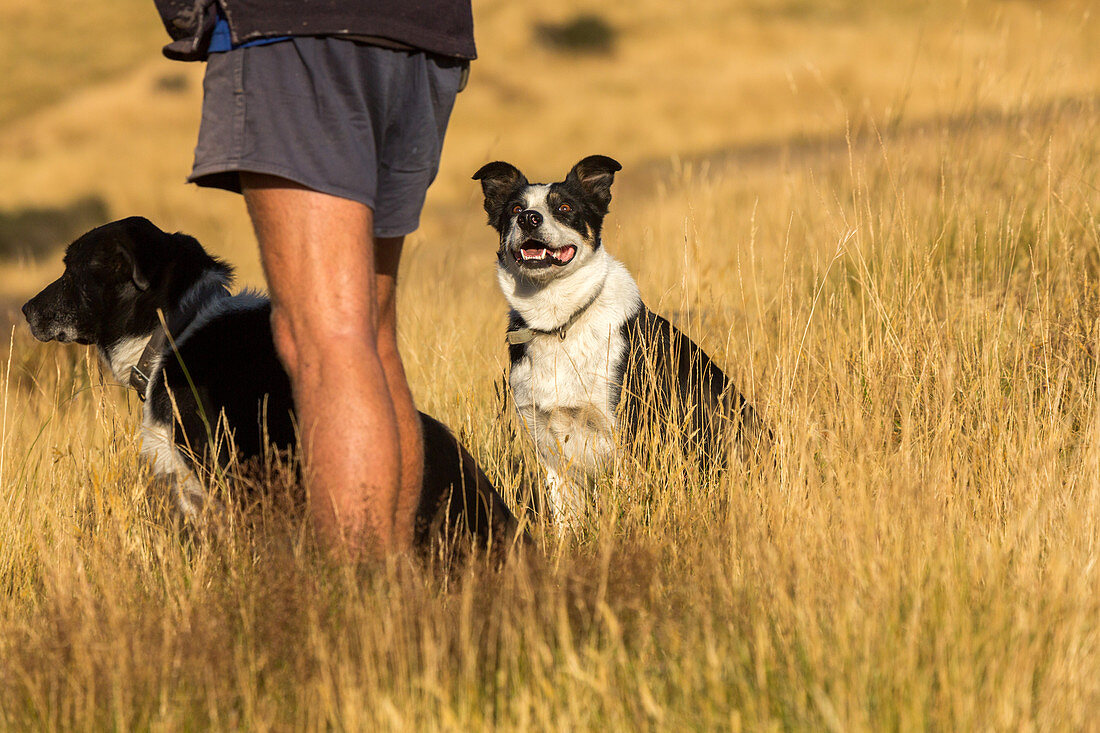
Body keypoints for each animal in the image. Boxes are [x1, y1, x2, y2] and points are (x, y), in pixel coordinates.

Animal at [470, 154, 765, 521]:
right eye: (514, 209)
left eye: (565, 207)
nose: (528, 219)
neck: (559, 321)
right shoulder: (549, 445)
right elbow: (566, 522)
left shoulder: (628, 432)